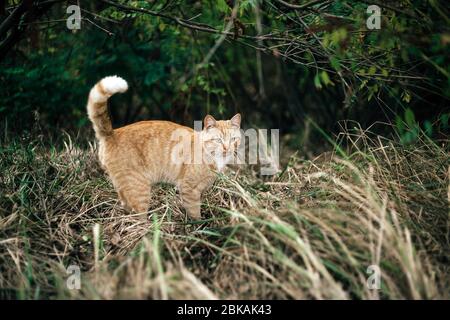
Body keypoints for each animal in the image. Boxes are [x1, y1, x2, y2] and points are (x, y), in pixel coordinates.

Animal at [88, 75, 243, 220]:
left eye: (233, 139)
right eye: (218, 140)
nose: (227, 148)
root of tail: (112, 133)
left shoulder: (202, 189)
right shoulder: (189, 190)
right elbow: (195, 214)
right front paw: (198, 227)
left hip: (124, 189)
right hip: (139, 189)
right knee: (138, 218)